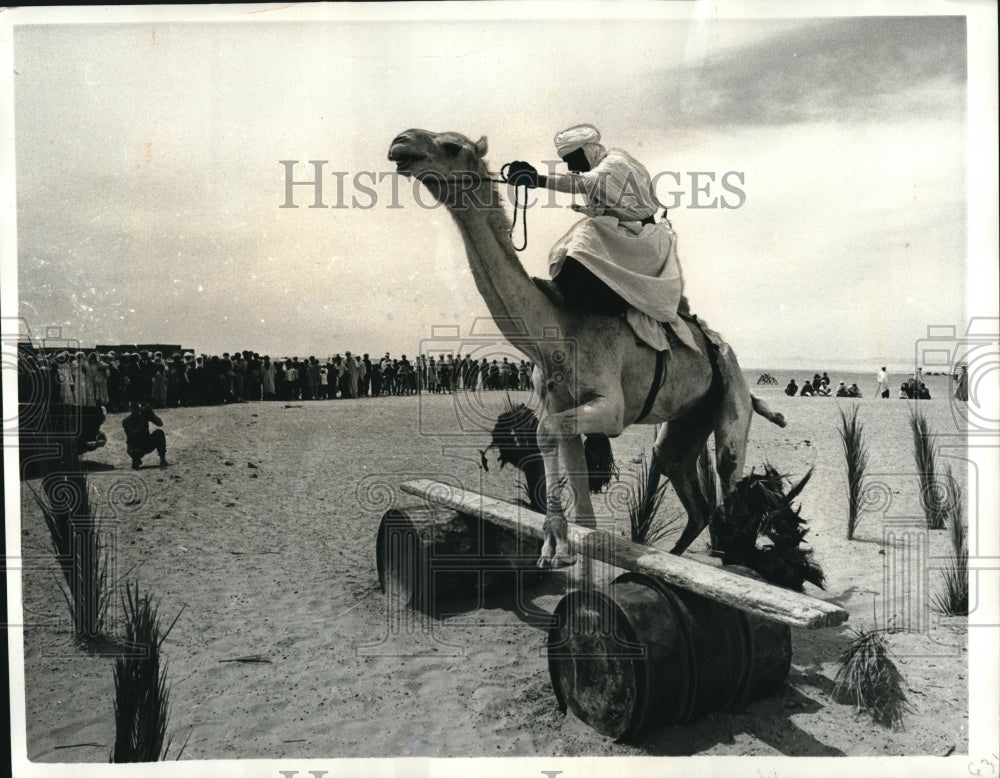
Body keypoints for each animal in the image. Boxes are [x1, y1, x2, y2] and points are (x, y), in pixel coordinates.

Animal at [386, 126, 784, 564]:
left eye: (452, 146)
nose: (401, 142)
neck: (557, 330)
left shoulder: (610, 409)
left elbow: (546, 432)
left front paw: (555, 542)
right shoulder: (561, 403)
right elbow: (576, 489)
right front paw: (560, 545)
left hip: (731, 398)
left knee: (729, 477)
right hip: (687, 421)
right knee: (691, 494)